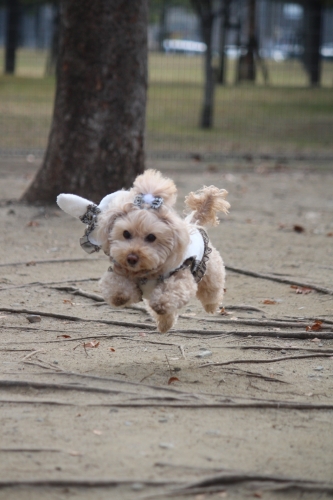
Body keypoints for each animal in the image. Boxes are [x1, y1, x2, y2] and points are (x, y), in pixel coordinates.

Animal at [56, 171, 228, 332]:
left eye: (151, 237)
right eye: (126, 234)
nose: (131, 257)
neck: (144, 273)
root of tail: (193, 223)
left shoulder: (180, 275)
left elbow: (170, 293)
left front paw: (162, 302)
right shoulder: (119, 273)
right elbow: (116, 288)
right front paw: (121, 296)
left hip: (209, 271)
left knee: (211, 291)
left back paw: (211, 307)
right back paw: (164, 325)